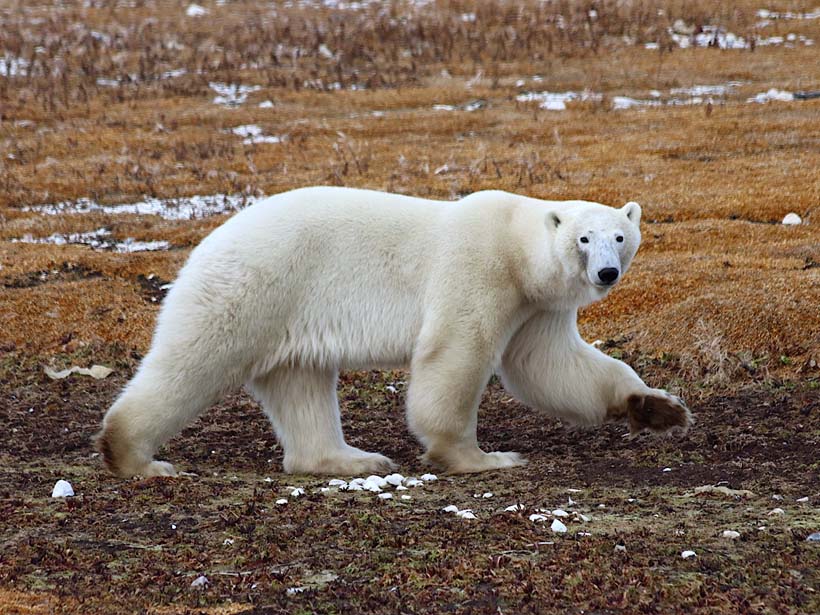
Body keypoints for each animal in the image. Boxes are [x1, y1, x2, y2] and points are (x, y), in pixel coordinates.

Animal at [96, 186, 688, 476]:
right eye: (584, 239)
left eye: (620, 236)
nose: (606, 273)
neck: (516, 246)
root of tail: (209, 240)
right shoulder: (479, 270)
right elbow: (455, 352)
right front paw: (481, 458)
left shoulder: (535, 306)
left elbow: (551, 367)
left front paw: (658, 409)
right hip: (255, 288)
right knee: (192, 362)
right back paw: (137, 457)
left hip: (291, 314)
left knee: (301, 384)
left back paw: (349, 458)